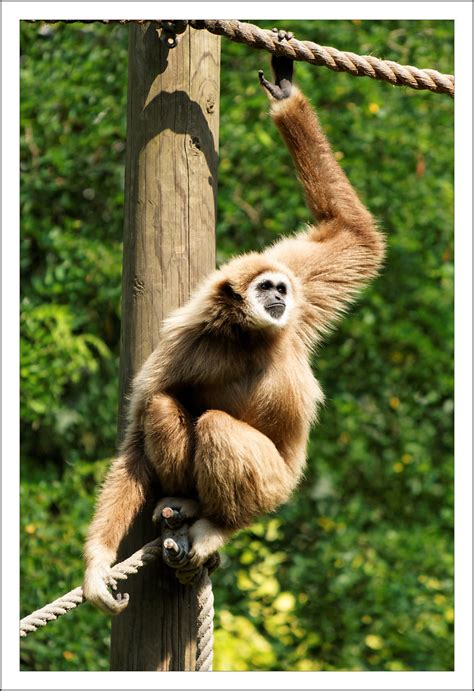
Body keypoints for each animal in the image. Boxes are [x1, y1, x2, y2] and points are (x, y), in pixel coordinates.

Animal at [83, 55, 385, 614]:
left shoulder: (303, 282)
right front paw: (95, 568)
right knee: (164, 405)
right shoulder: (181, 343)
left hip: (274, 489)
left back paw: (218, 526)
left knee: (219, 430)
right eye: (265, 288)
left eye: (280, 287)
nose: (279, 298)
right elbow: (135, 438)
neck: (248, 335)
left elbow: (354, 235)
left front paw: (285, 93)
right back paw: (184, 504)